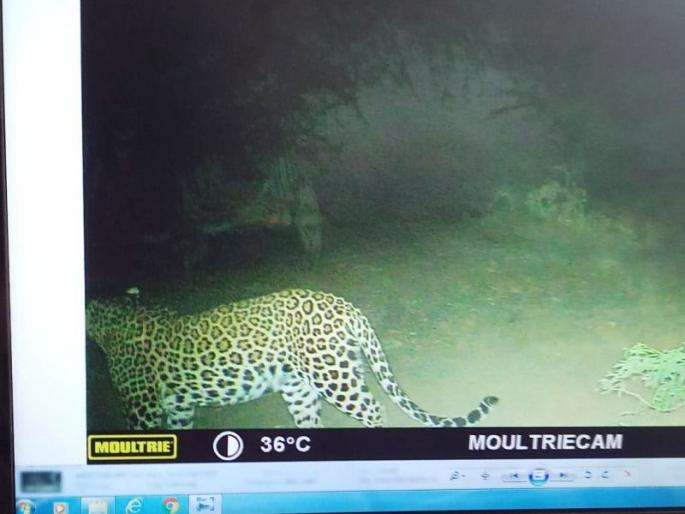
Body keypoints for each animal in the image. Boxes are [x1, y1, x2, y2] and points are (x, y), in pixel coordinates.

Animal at [86, 288, 498, 430]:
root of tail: (344, 304)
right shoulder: (180, 408)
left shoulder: (141, 408)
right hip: (300, 387)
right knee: (311, 421)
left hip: (334, 377)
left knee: (374, 410)